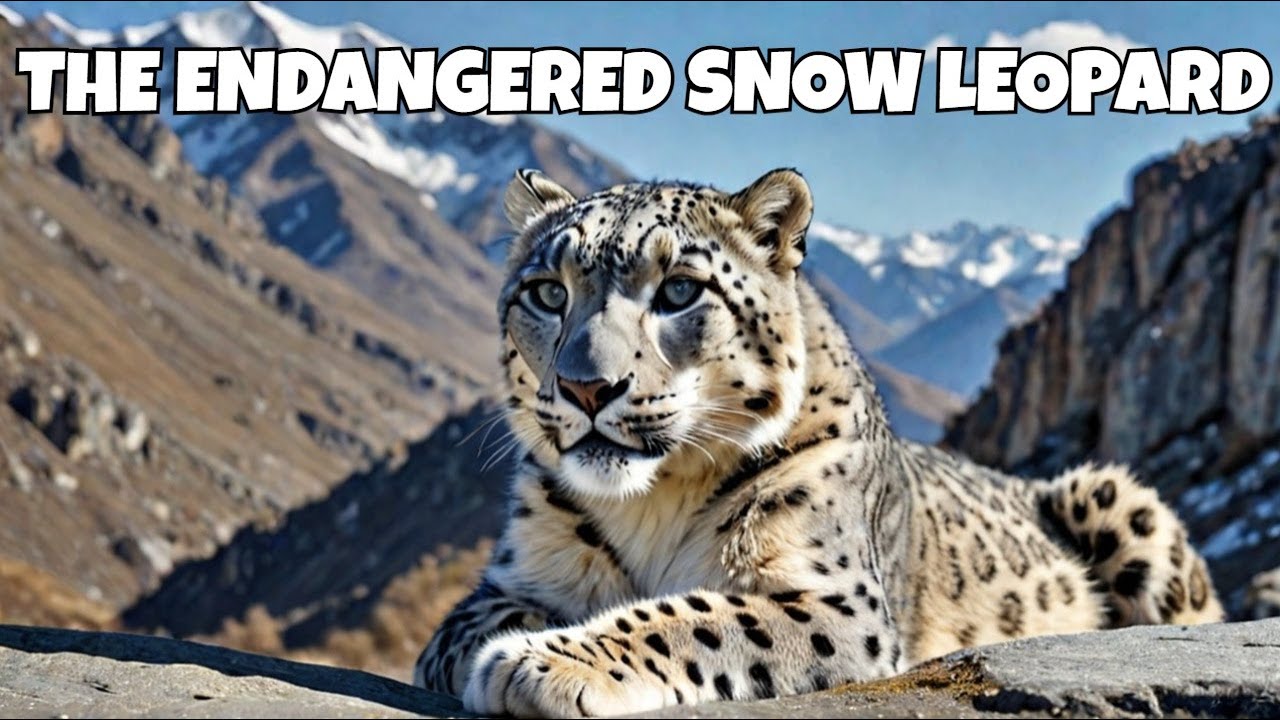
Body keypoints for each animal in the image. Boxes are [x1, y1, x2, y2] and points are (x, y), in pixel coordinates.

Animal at [412, 168, 1223, 717]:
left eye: (679, 290)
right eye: (548, 292)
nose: (587, 387)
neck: (653, 503)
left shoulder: (835, 599)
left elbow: (696, 617)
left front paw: (544, 663)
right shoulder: (502, 584)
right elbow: (483, 626)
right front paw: (526, 644)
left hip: (1118, 501)